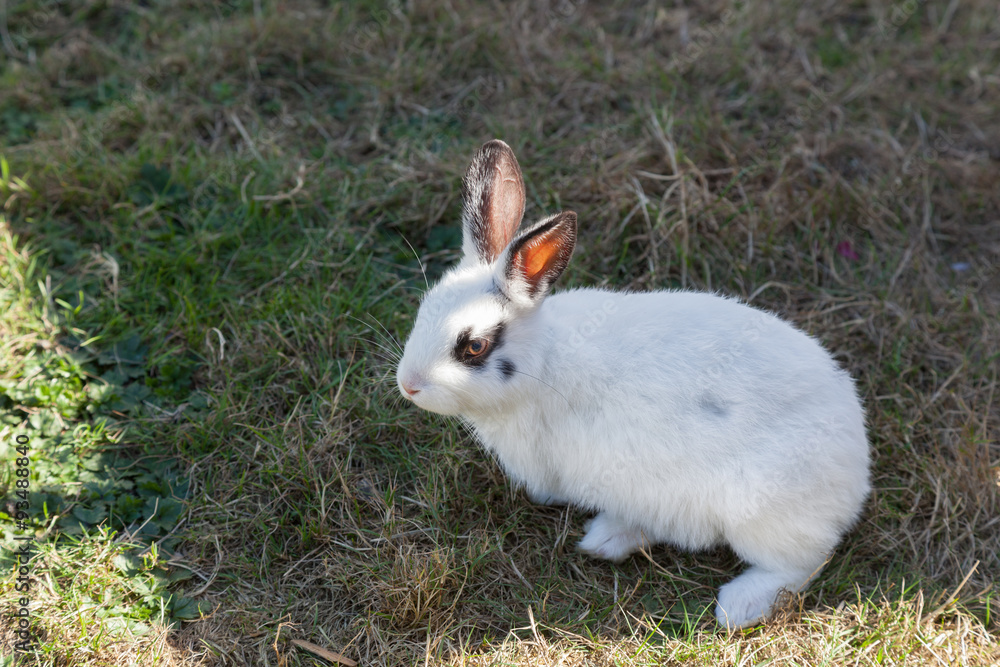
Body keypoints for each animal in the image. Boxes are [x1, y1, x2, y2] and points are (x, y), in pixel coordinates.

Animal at [395, 139, 871, 629]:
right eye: (424, 307)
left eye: (474, 346)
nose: (408, 384)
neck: (544, 366)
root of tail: (856, 465)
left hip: (760, 513)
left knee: (799, 564)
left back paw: (737, 605)